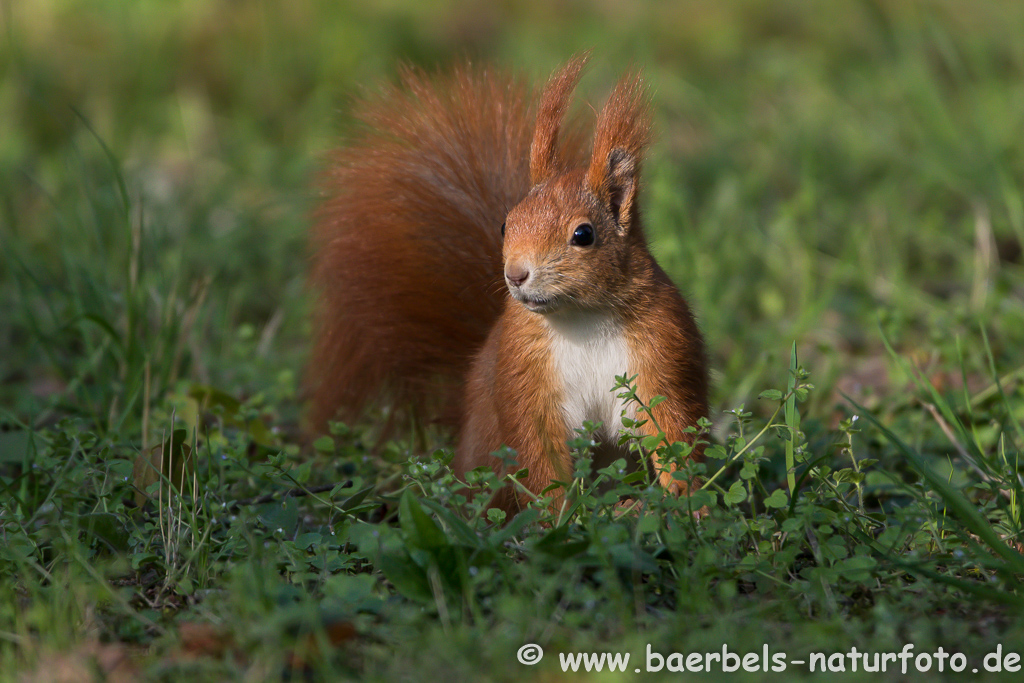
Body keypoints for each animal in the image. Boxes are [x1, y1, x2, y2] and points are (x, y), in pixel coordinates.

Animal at [307, 56, 708, 511]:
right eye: (505, 224)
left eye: (583, 234)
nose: (515, 274)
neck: (583, 318)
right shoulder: (524, 372)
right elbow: (539, 453)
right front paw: (559, 517)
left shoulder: (661, 352)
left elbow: (673, 430)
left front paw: (690, 503)